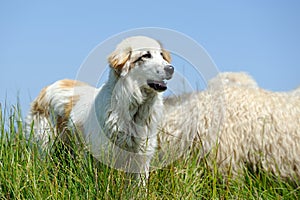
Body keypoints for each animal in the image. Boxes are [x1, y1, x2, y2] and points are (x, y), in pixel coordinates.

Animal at [27, 36, 175, 183]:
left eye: (161, 55)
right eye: (145, 55)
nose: (171, 68)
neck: (134, 109)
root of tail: (48, 87)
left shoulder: (141, 158)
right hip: (46, 144)